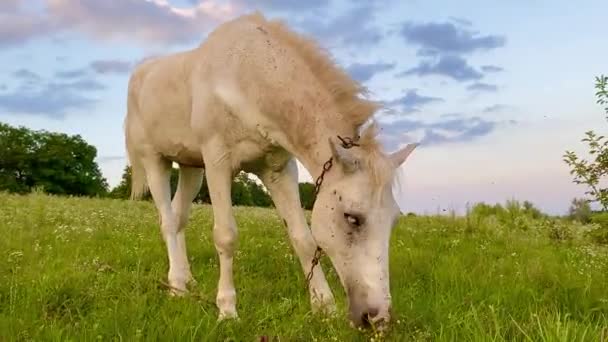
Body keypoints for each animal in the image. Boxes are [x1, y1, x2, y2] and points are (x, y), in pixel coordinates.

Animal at [123, 12, 418, 328]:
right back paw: (177, 287)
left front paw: (324, 306)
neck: (247, 76)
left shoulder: (278, 171)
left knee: (179, 219)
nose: (378, 318)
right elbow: (225, 235)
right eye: (352, 218)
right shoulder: (217, 162)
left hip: (192, 169)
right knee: (167, 221)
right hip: (156, 162)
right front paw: (227, 310)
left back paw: (186, 283)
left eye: (394, 219)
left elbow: (303, 238)